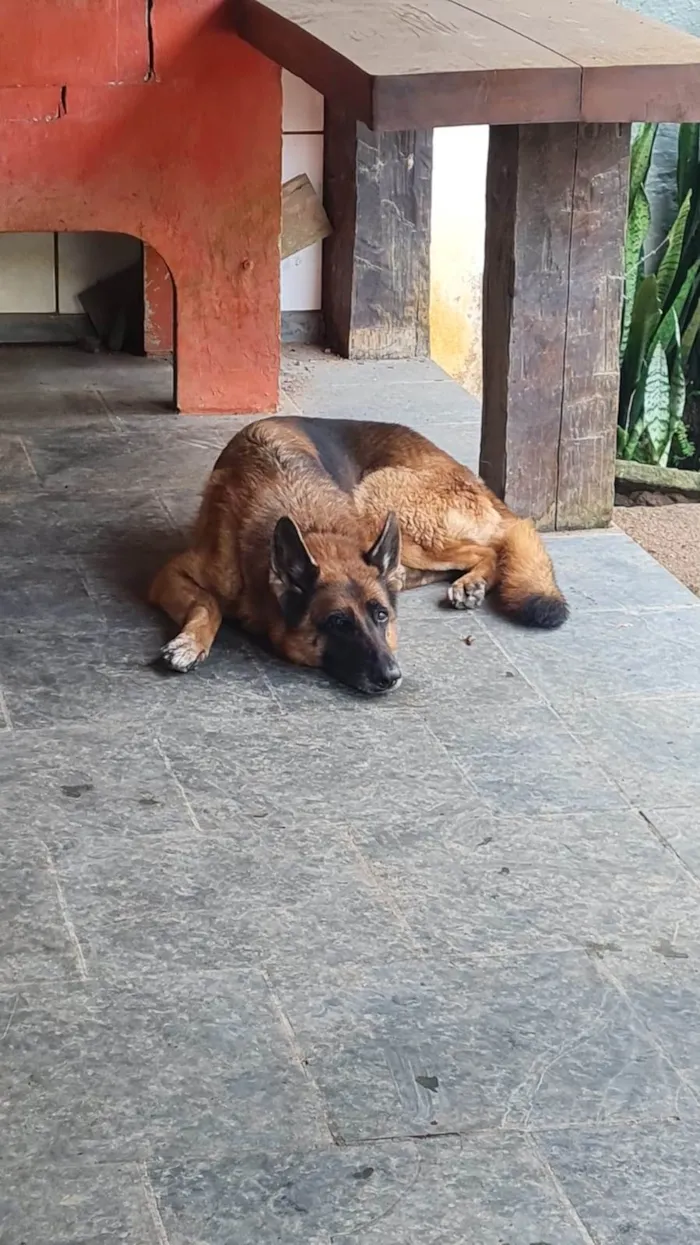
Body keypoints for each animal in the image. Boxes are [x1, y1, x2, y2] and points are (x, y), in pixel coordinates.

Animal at [148, 415, 567, 692]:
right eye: (338, 623)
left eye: (382, 616)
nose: (392, 677)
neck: (313, 526)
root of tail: (481, 485)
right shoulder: (171, 574)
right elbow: (209, 604)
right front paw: (191, 642)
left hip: (378, 500)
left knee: (488, 549)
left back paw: (472, 582)